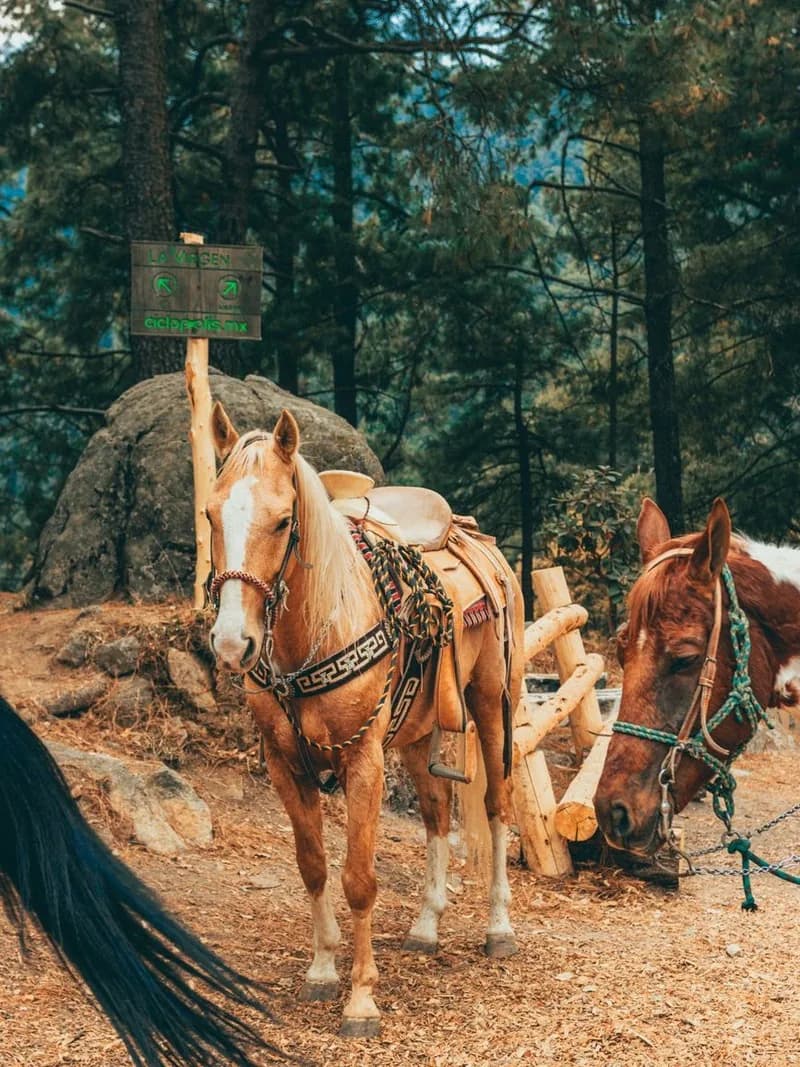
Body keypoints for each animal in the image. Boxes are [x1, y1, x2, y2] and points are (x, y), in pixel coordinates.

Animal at [205, 403, 524, 1037]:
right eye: (210, 513)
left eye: (282, 521)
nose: (231, 644)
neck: (316, 629)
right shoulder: (284, 764)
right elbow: (313, 867)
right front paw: (323, 970)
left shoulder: (364, 761)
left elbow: (358, 879)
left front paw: (361, 999)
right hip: (417, 730)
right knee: (435, 810)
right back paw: (426, 927)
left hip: (492, 703)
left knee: (497, 805)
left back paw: (498, 928)